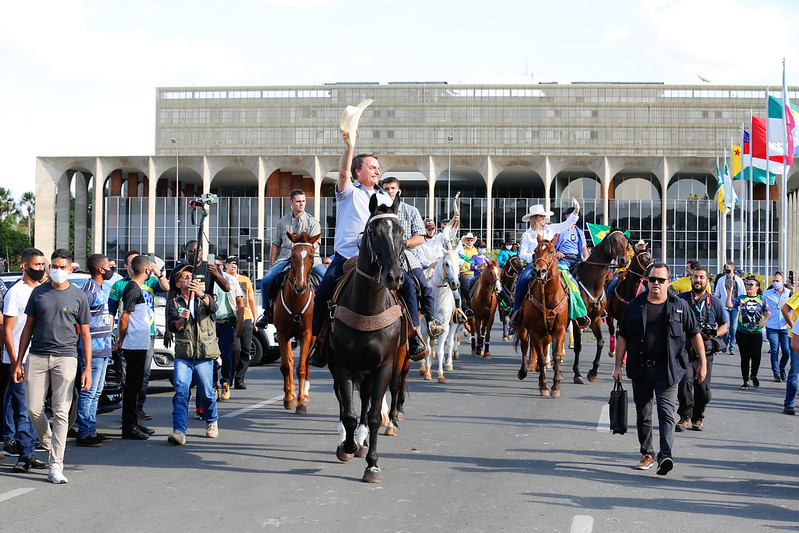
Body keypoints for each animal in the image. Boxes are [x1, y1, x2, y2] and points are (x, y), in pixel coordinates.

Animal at [276, 231, 322, 414]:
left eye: (310, 256)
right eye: (293, 255)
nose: (300, 286)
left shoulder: (306, 334)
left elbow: (302, 367)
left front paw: (301, 403)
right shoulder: (282, 334)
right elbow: (285, 366)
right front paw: (289, 398)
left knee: (307, 362)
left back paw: (305, 394)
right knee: (289, 360)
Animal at [328, 192, 410, 482]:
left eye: (401, 232)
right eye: (374, 232)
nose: (394, 277)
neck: (368, 306)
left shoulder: (384, 365)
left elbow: (373, 415)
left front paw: (372, 463)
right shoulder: (342, 364)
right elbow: (349, 412)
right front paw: (347, 445)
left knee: (366, 399)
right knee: (345, 401)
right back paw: (348, 439)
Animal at [418, 247, 462, 380]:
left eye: (459, 264)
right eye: (446, 264)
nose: (455, 284)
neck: (436, 298)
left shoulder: (444, 326)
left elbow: (441, 350)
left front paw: (441, 375)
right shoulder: (424, 326)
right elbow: (427, 348)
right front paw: (427, 372)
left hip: (452, 324)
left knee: (449, 343)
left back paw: (448, 364)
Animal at [516, 236, 572, 394]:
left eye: (552, 251)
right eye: (535, 251)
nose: (539, 271)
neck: (549, 296)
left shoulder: (560, 330)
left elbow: (557, 355)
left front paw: (556, 386)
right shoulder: (534, 331)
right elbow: (540, 357)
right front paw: (544, 386)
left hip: (547, 334)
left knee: (545, 347)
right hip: (523, 328)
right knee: (524, 346)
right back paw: (523, 371)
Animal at [572, 229, 636, 382]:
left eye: (626, 242)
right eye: (613, 240)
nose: (624, 260)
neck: (591, 284)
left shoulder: (595, 318)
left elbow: (600, 342)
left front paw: (593, 372)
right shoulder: (578, 320)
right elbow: (578, 346)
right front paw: (577, 373)